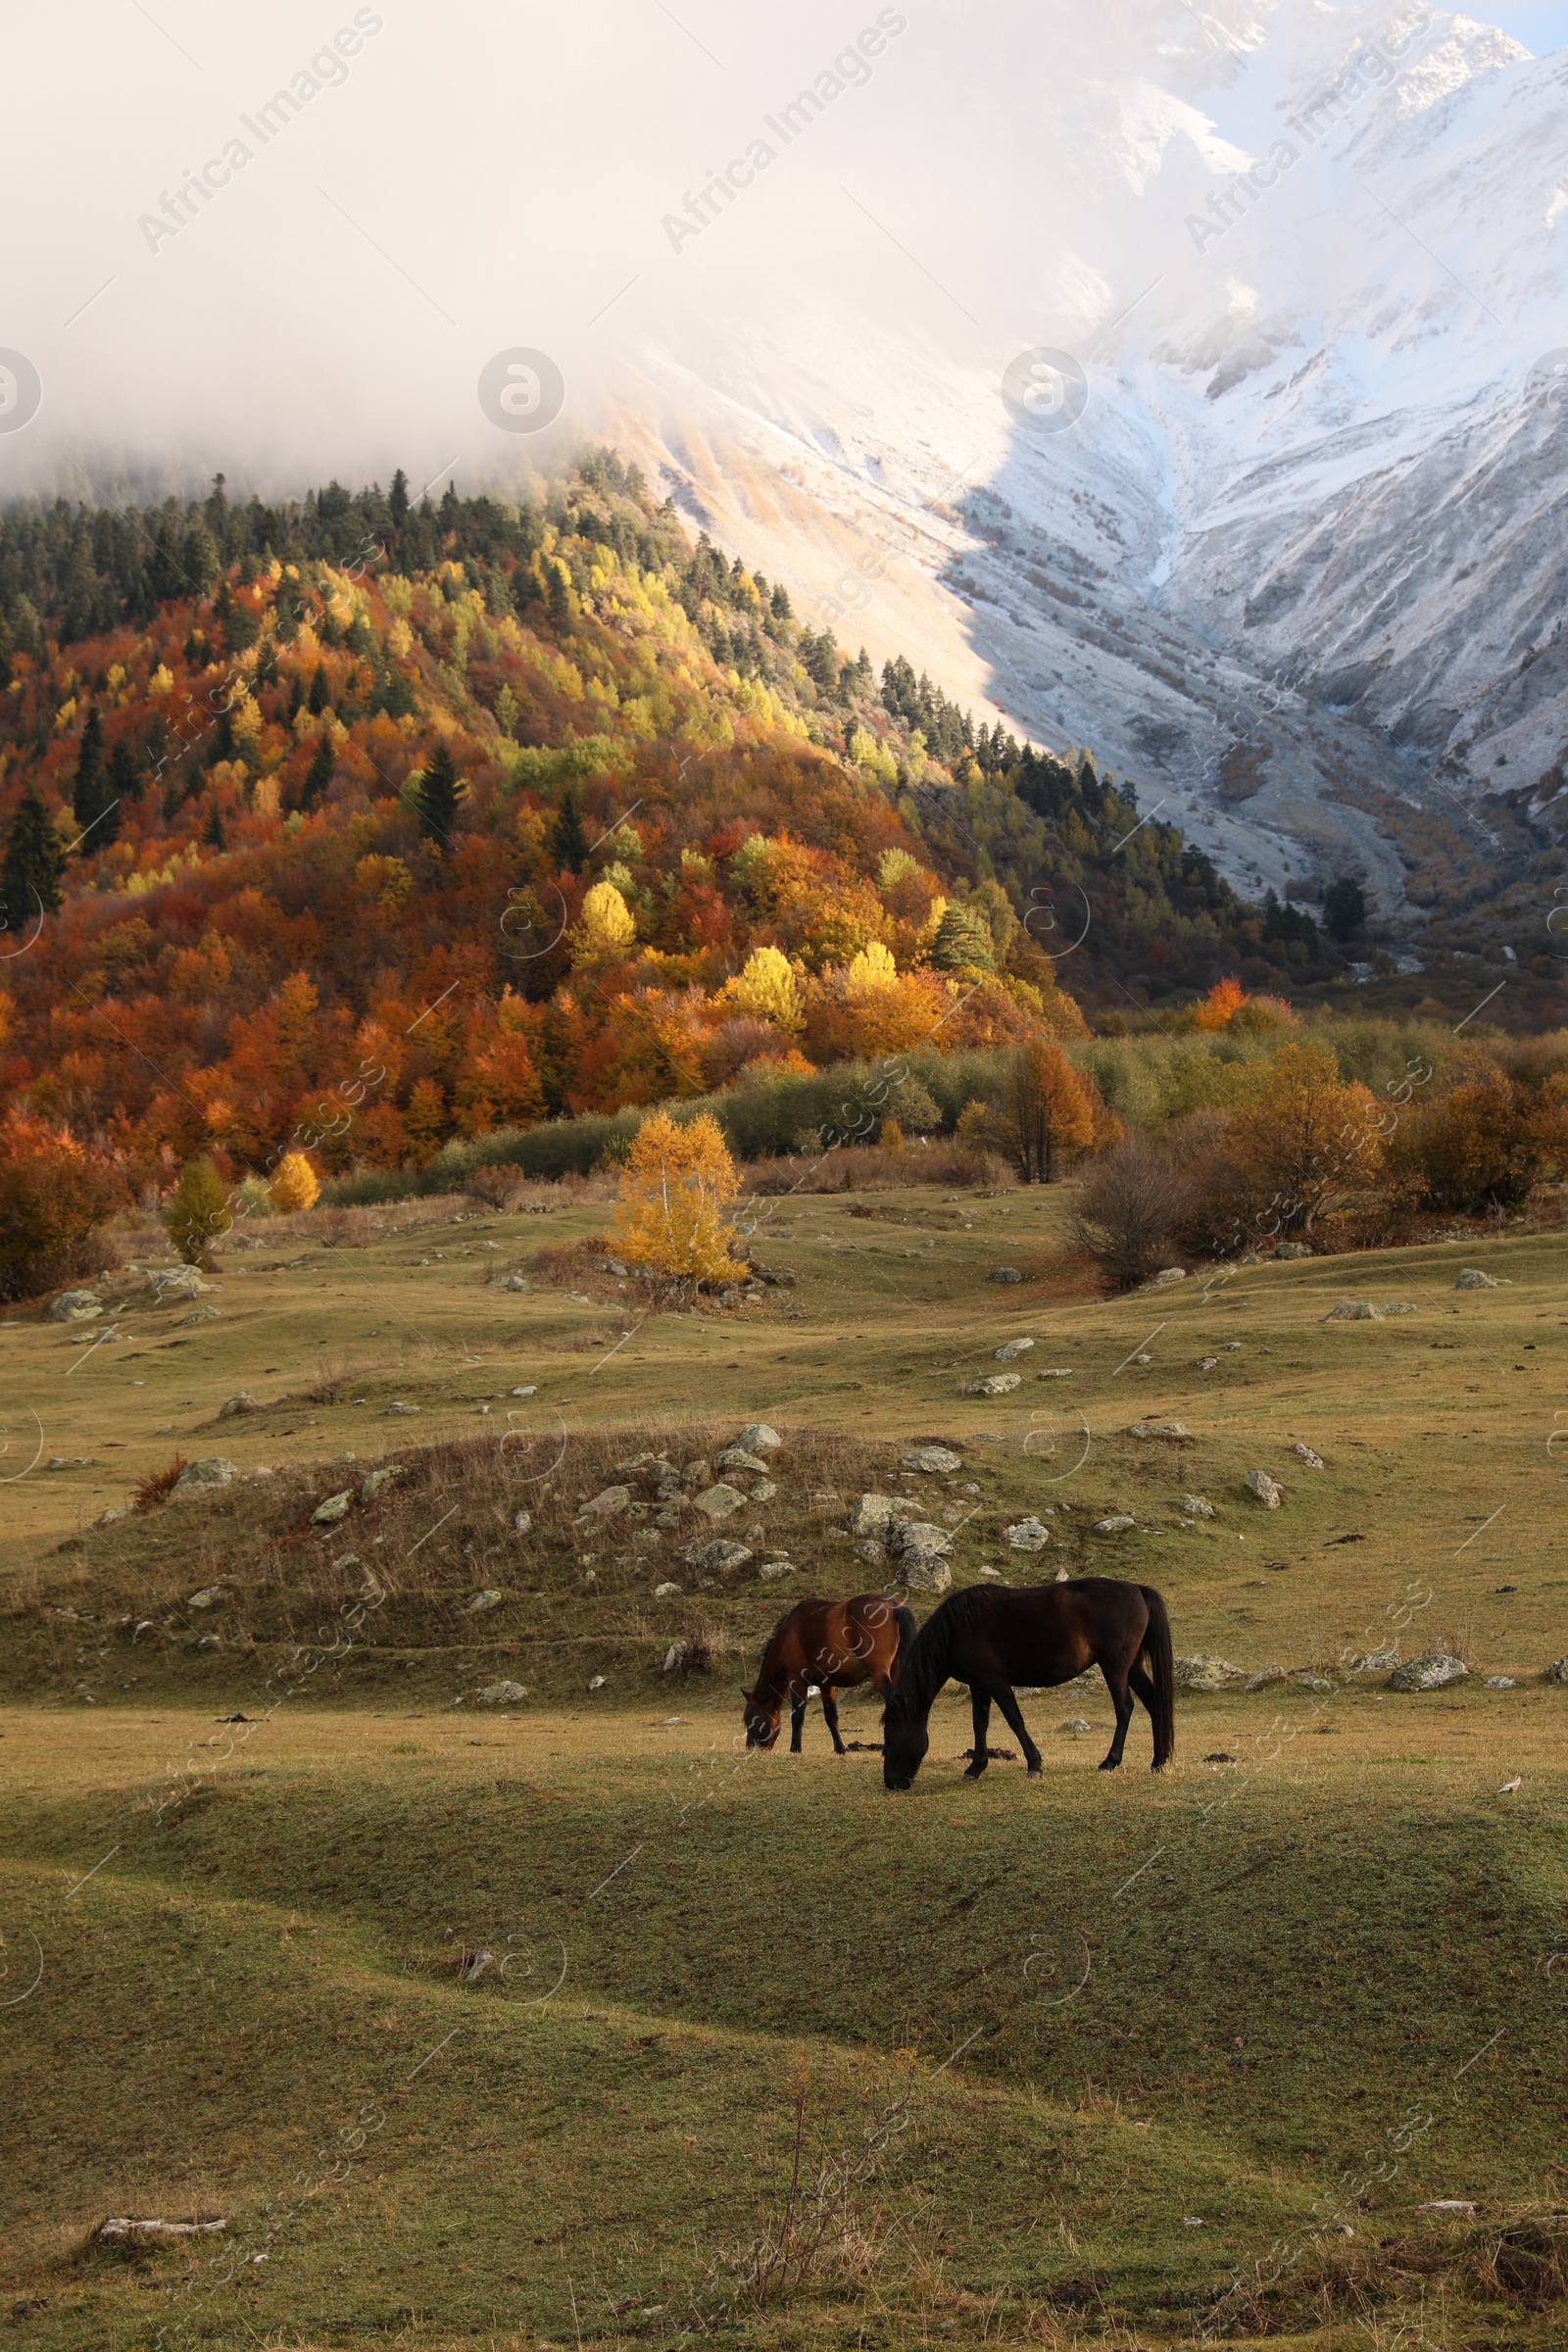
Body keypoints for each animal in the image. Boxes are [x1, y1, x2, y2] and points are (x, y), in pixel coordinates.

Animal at [743, 1590, 911, 1759]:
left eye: (749, 1720)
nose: (750, 1748)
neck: (787, 1634)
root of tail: (893, 1605)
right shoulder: (826, 1685)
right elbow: (831, 1717)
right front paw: (840, 1748)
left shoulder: (797, 1681)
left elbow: (797, 1716)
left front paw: (795, 1748)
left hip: (879, 1674)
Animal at [883, 1580, 1175, 1778]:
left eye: (889, 1739)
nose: (892, 1783)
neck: (959, 1627)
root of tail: (1137, 1589)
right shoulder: (978, 1684)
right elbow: (979, 1724)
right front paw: (975, 1767)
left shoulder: (996, 1681)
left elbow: (1015, 1720)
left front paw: (1034, 1764)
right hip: (1132, 1668)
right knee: (1154, 1703)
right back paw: (1158, 1761)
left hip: (1115, 1667)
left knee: (1125, 1708)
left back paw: (1110, 1761)